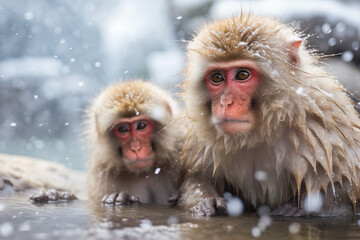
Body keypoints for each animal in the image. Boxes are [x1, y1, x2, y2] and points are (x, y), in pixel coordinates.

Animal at [179, 15, 360, 218]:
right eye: (217, 78)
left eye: (242, 75)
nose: (225, 102)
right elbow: (195, 177)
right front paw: (203, 202)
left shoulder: (323, 132)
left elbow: (342, 196)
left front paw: (295, 209)